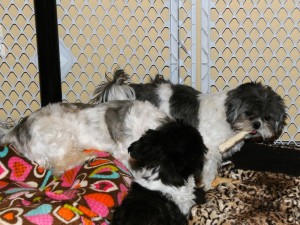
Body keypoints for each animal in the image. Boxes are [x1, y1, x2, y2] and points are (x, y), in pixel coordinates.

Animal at [91, 69, 286, 189]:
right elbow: (208, 171)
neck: (227, 116)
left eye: (267, 117)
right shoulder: (209, 151)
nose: (256, 124)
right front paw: (210, 184)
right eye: (248, 113)